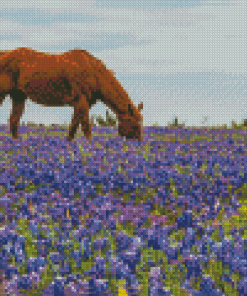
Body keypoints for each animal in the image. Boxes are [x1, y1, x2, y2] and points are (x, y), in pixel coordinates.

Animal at [0, 47, 143, 141]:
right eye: (135, 124)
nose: (140, 143)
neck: (93, 71)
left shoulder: (80, 104)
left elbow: (73, 126)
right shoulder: (81, 101)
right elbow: (86, 128)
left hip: (18, 96)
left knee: (13, 121)